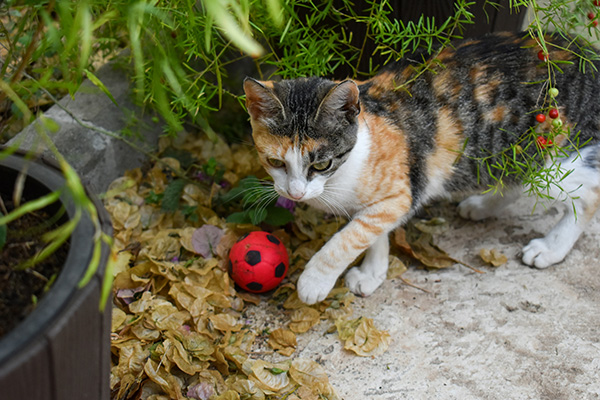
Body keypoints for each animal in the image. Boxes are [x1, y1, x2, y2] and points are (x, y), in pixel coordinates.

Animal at [243, 31, 600, 304]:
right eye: (275, 162)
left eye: (321, 163)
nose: (295, 193)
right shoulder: (385, 201)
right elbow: (372, 230)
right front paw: (373, 272)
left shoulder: (404, 190)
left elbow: (349, 237)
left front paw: (314, 281)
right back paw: (482, 206)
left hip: (550, 155)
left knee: (587, 194)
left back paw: (550, 248)